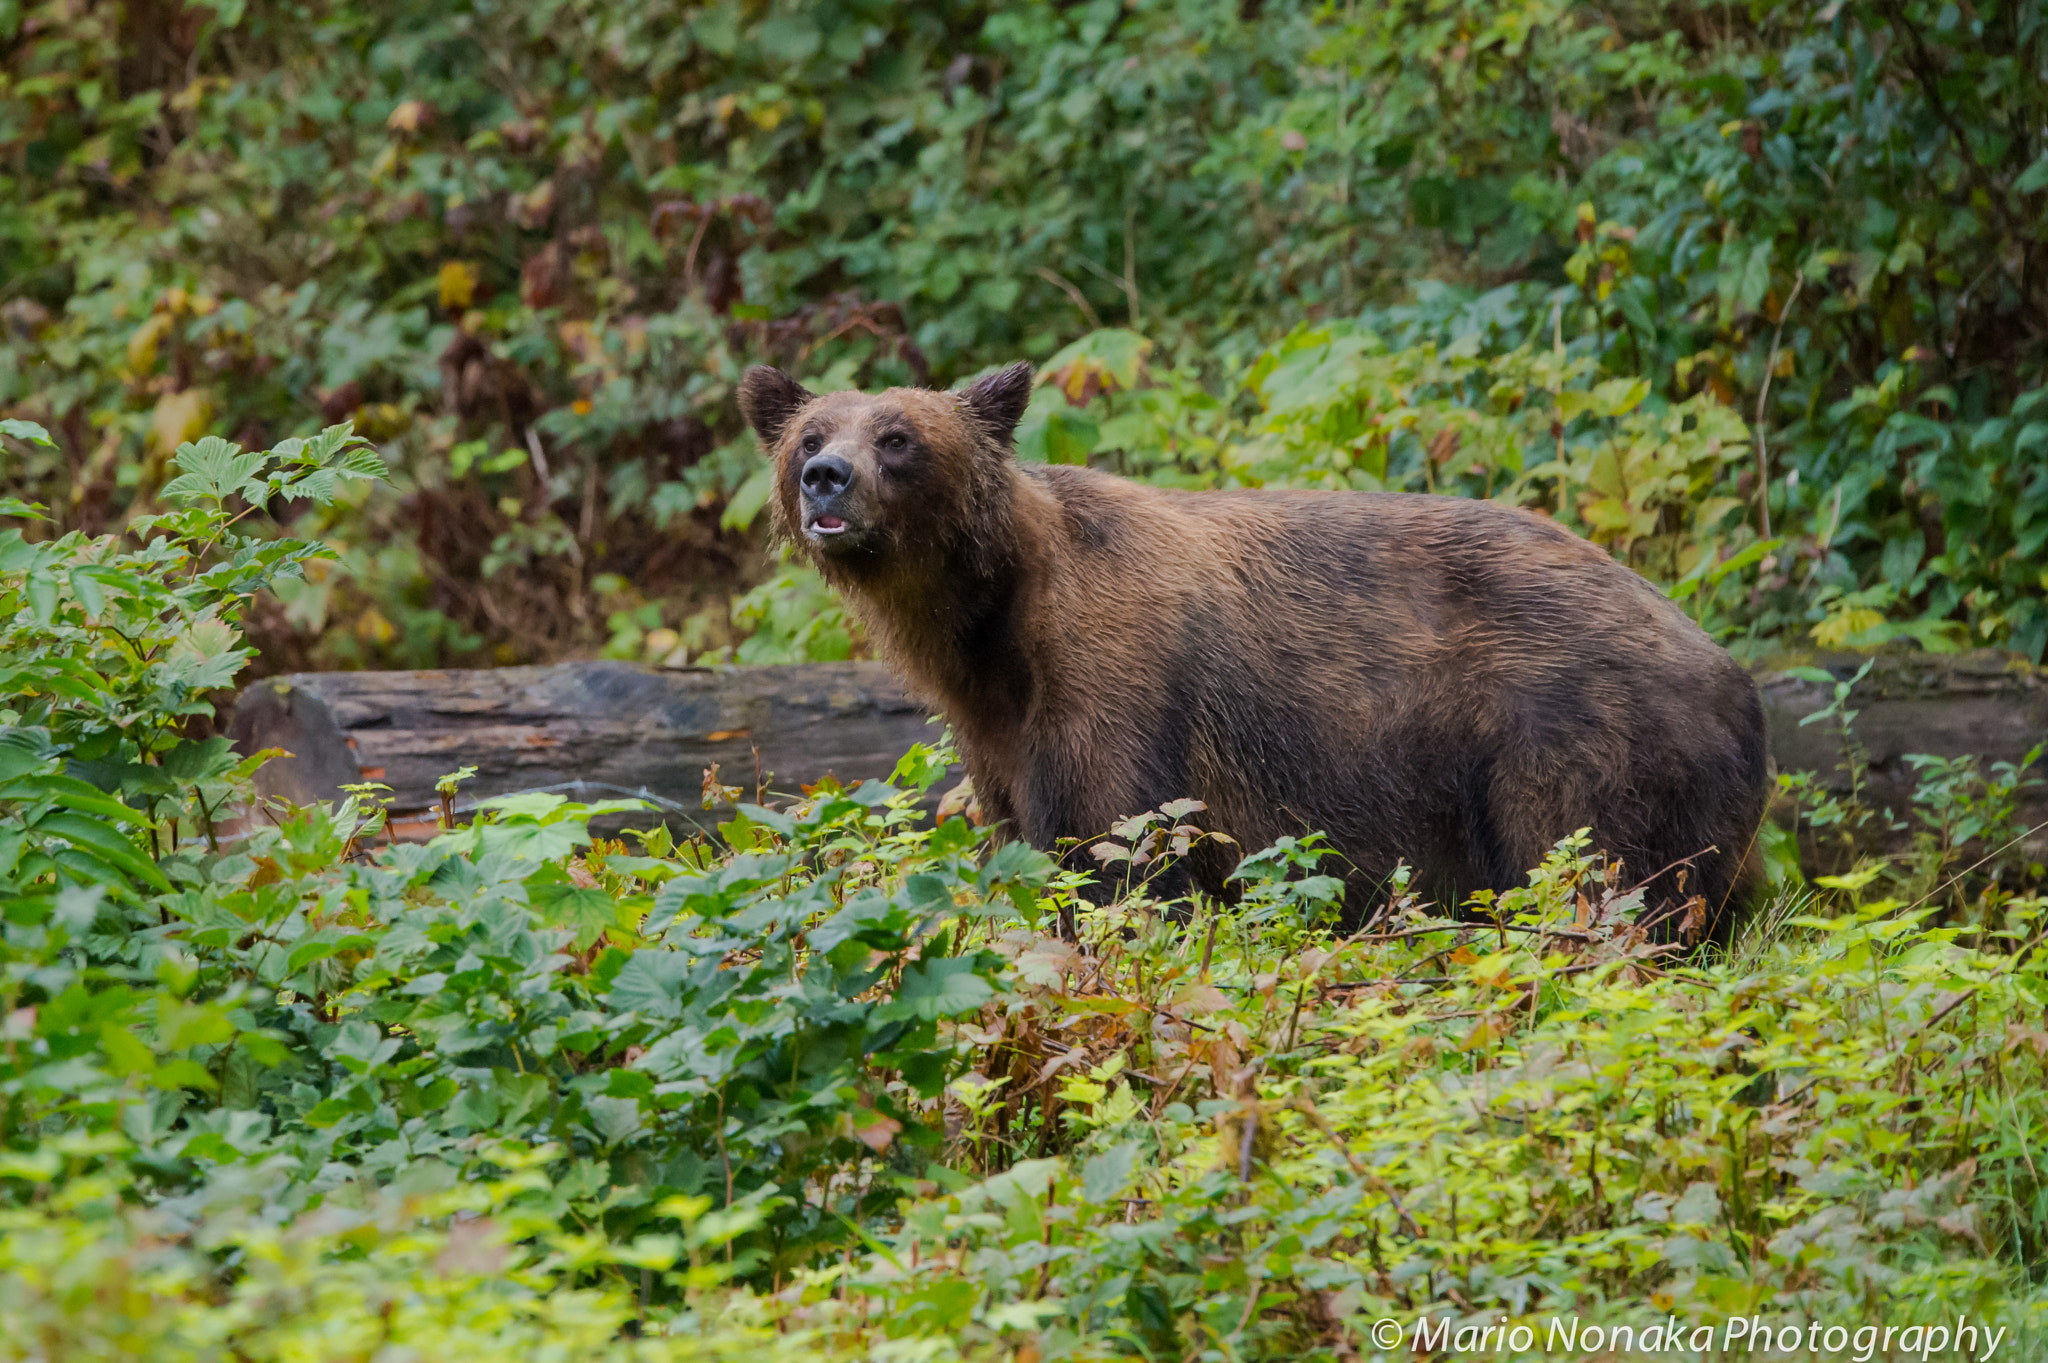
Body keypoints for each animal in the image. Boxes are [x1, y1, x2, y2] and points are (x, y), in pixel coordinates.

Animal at [738, 361, 1771, 945]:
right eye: (809, 431)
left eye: (898, 436)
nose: (826, 478)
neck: (992, 632)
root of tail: (1732, 672)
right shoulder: (1000, 742)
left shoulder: (1117, 690)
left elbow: (1127, 864)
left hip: (1573, 743)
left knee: (1597, 878)